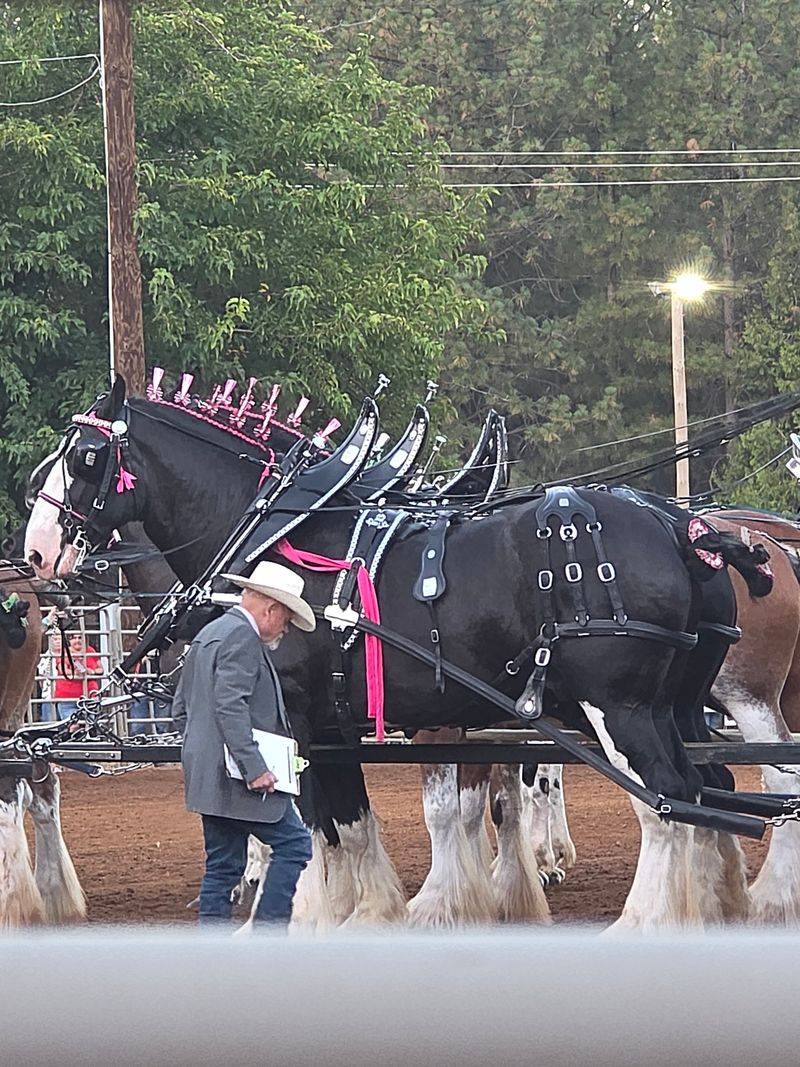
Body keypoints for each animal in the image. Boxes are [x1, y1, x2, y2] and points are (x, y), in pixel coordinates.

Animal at [25, 378, 760, 930]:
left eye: (85, 455)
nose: (34, 552)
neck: (275, 533)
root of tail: (682, 526)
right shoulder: (329, 724)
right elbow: (341, 825)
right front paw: (355, 910)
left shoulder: (299, 718)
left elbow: (324, 826)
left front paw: (332, 915)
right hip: (671, 707)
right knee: (709, 786)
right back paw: (721, 904)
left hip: (619, 707)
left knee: (667, 802)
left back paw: (647, 922)